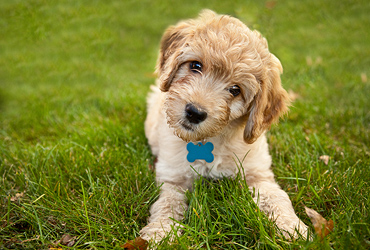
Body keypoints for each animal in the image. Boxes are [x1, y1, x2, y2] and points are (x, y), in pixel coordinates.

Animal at [140, 10, 308, 244]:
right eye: (196, 66)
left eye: (235, 90)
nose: (194, 112)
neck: (209, 140)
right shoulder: (173, 178)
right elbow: (167, 204)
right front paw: (160, 232)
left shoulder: (258, 173)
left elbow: (276, 196)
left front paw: (293, 227)